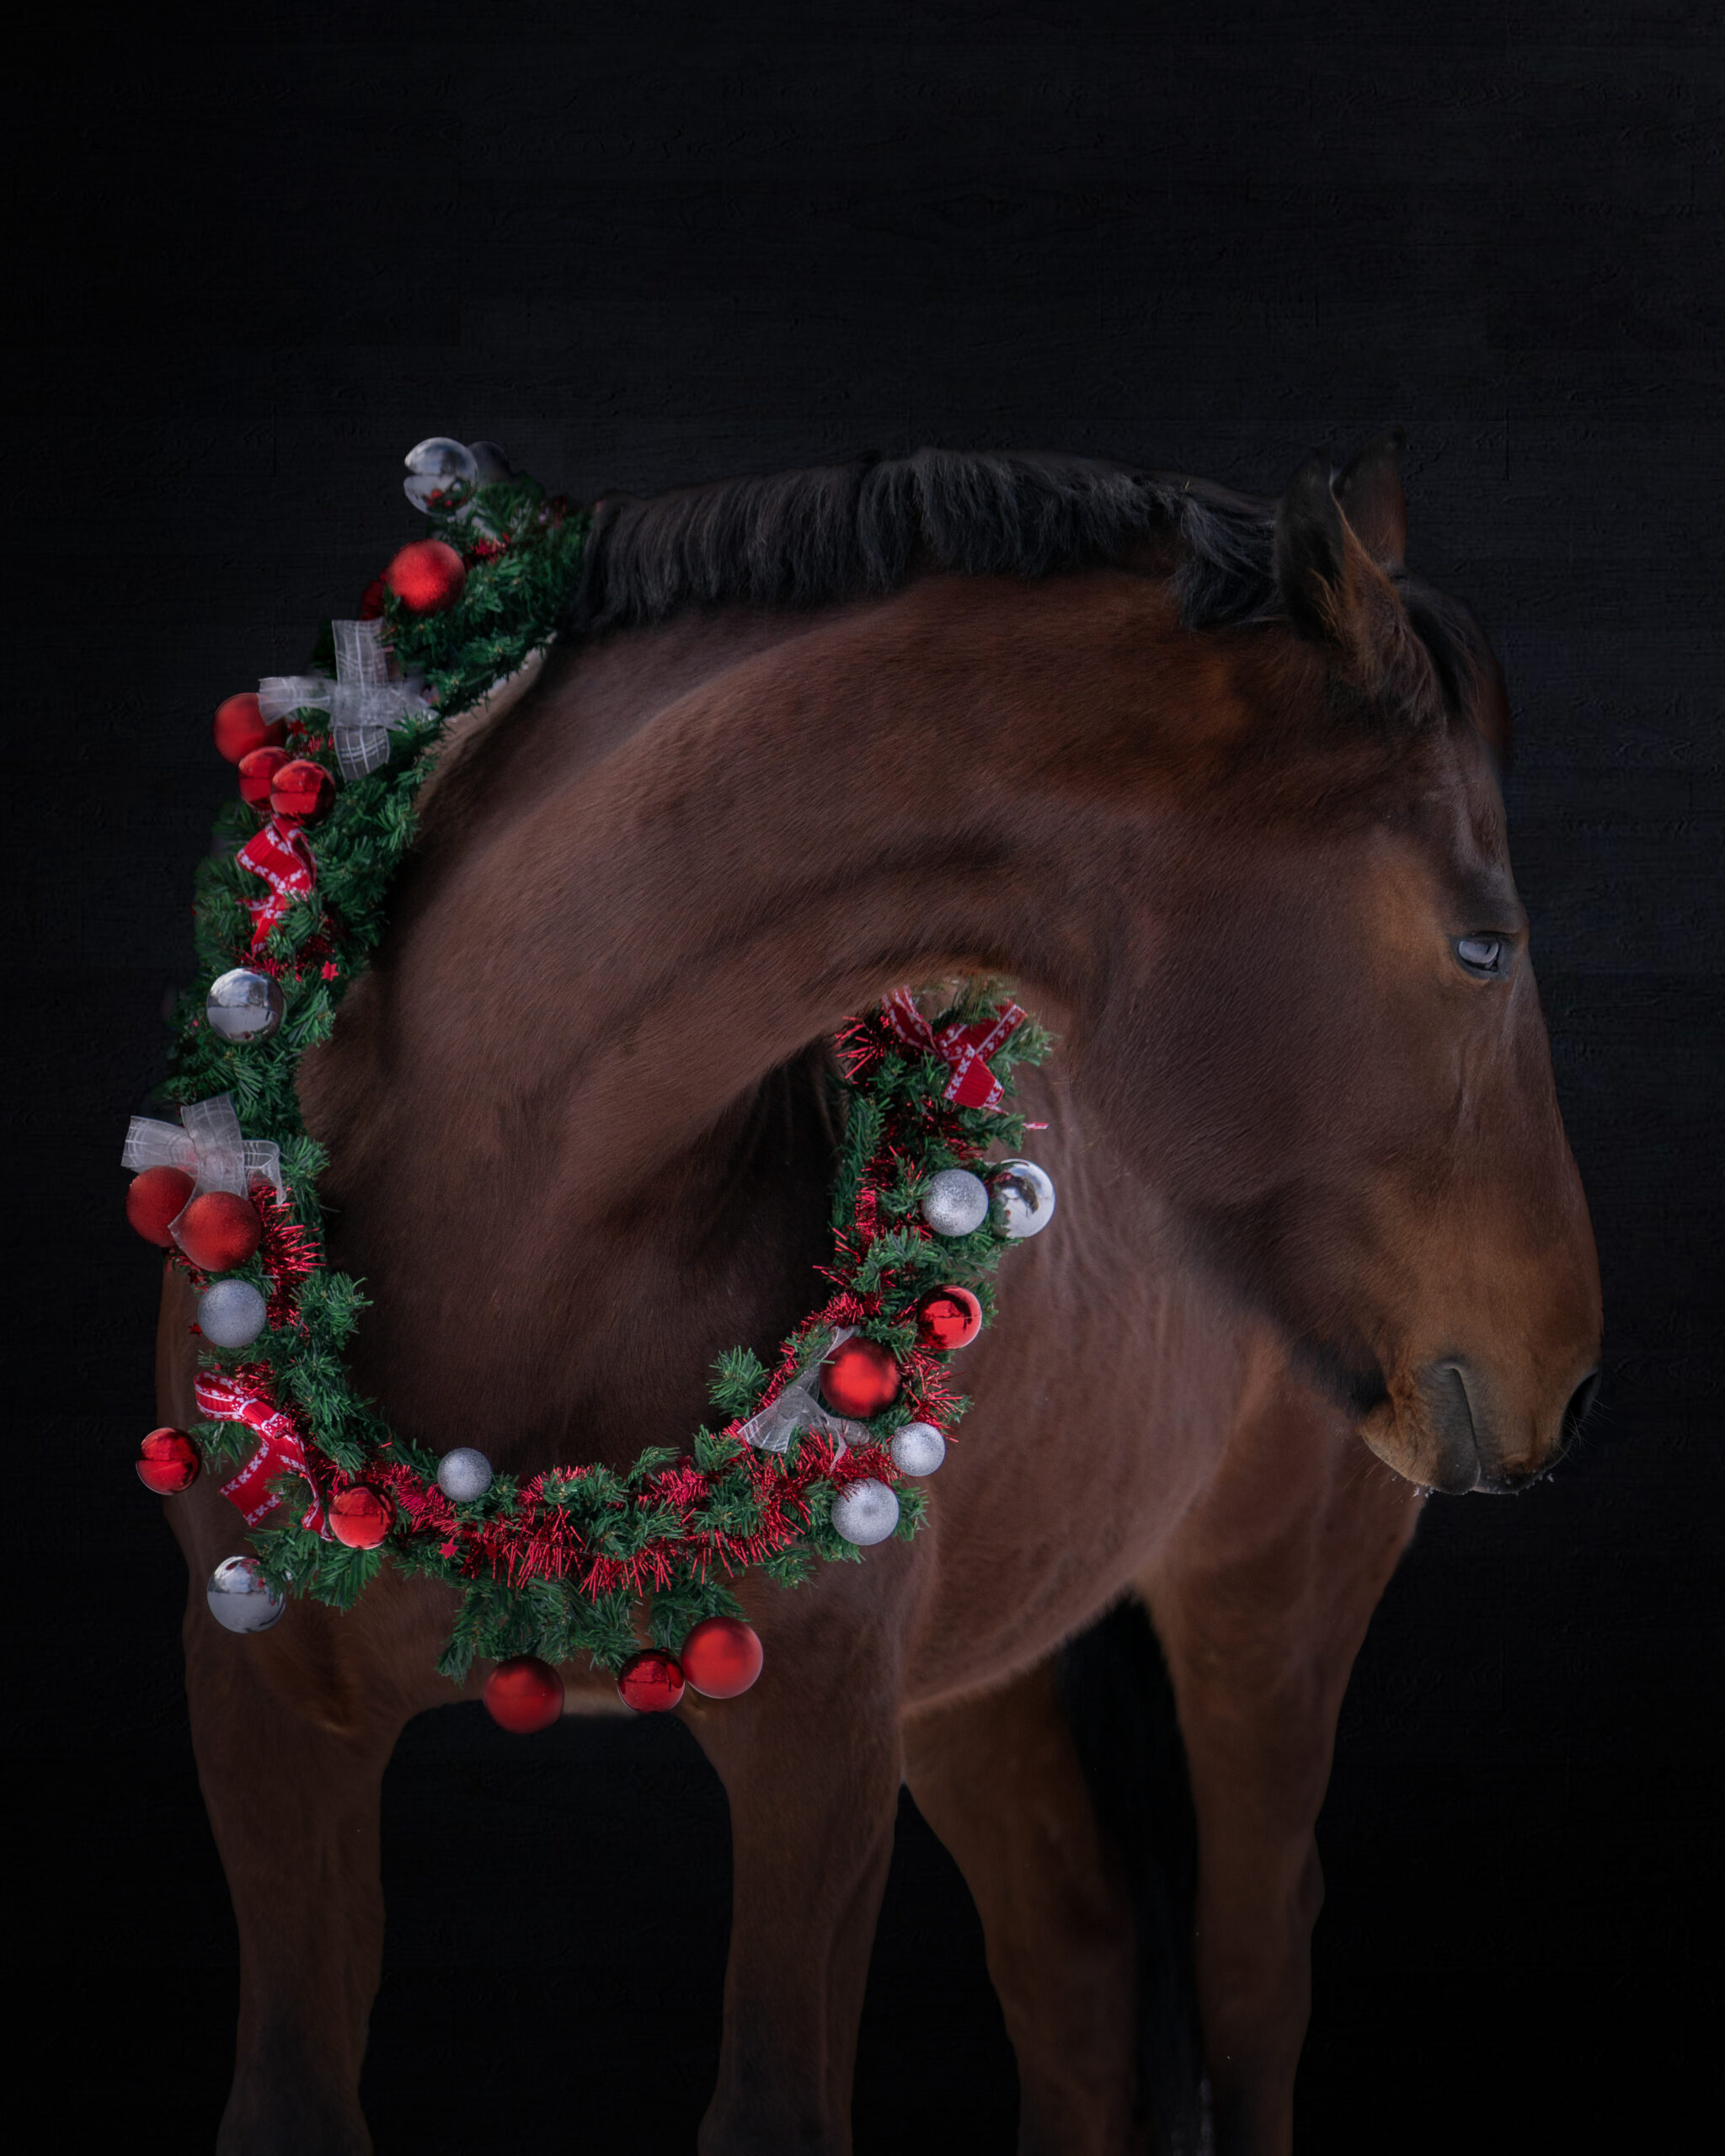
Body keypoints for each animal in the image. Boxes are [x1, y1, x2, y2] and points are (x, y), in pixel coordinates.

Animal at [152, 432, 1602, 2155]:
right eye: (1481, 947)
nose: (1565, 1367)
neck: (503, 1183)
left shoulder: (819, 1749)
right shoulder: (267, 1721)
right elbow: (289, 2103)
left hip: (1266, 1606)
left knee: (1251, 1969)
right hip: (987, 1666)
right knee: (1076, 1968)